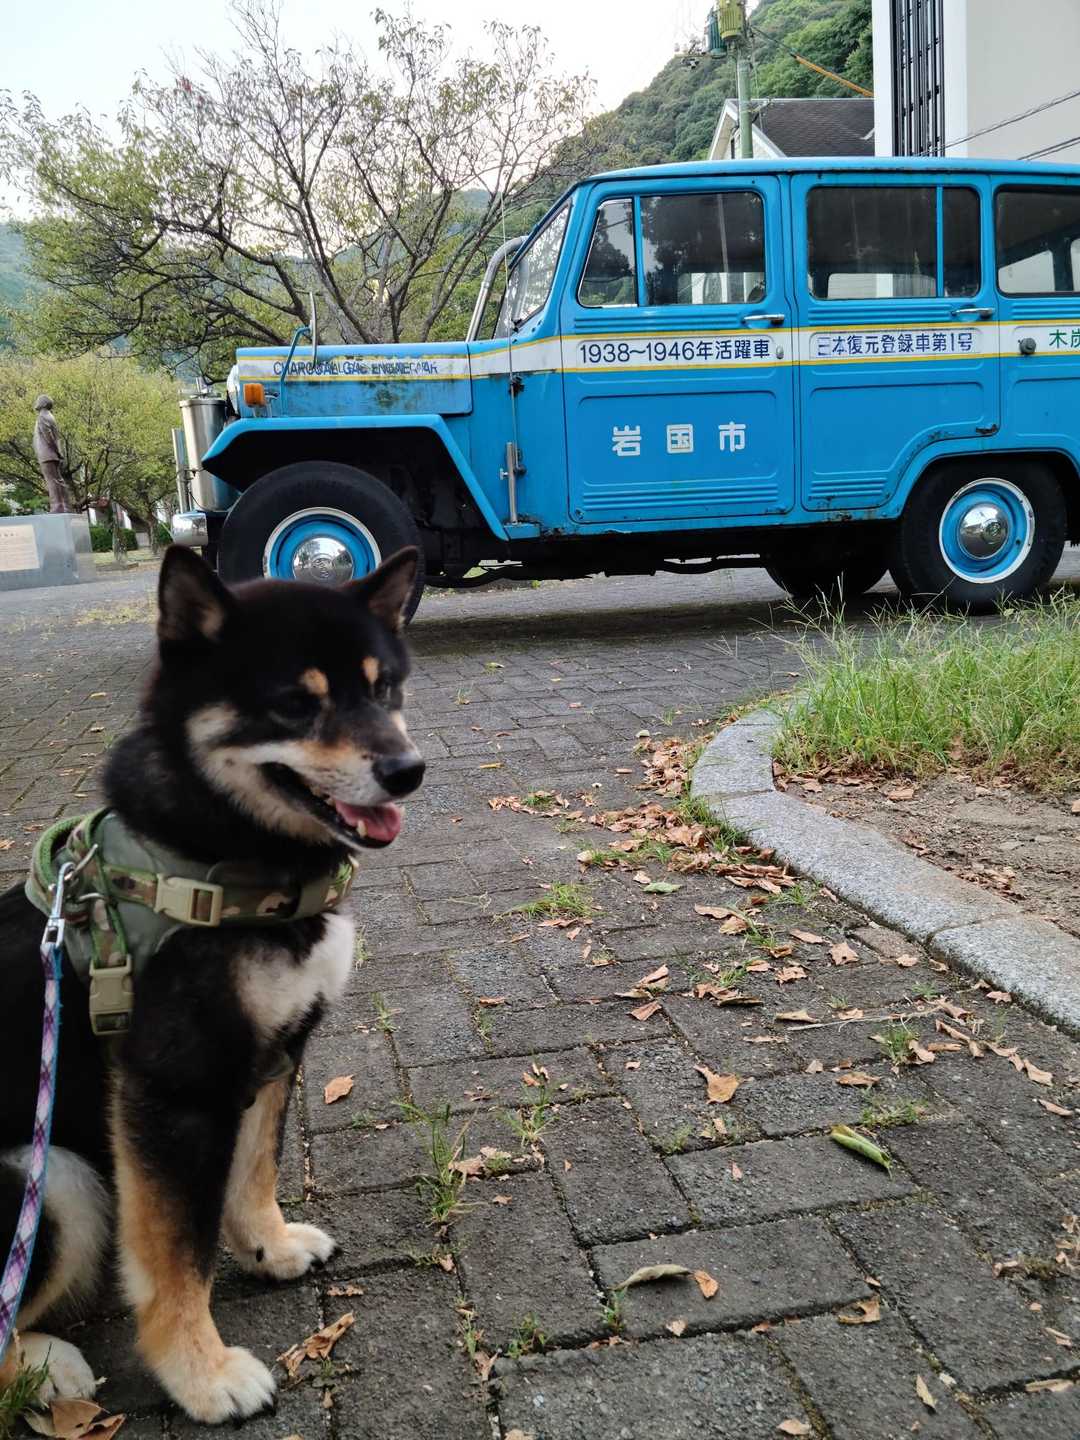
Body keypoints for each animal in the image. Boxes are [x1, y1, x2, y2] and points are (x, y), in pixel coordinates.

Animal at [0, 544, 424, 1422]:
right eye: (296, 704)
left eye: (383, 688)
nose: (409, 771)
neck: (226, 860)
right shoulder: (172, 1090)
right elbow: (175, 1252)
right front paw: (200, 1372)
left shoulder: (274, 1053)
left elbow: (251, 1172)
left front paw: (269, 1245)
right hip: (52, 1176)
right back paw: (47, 1366)